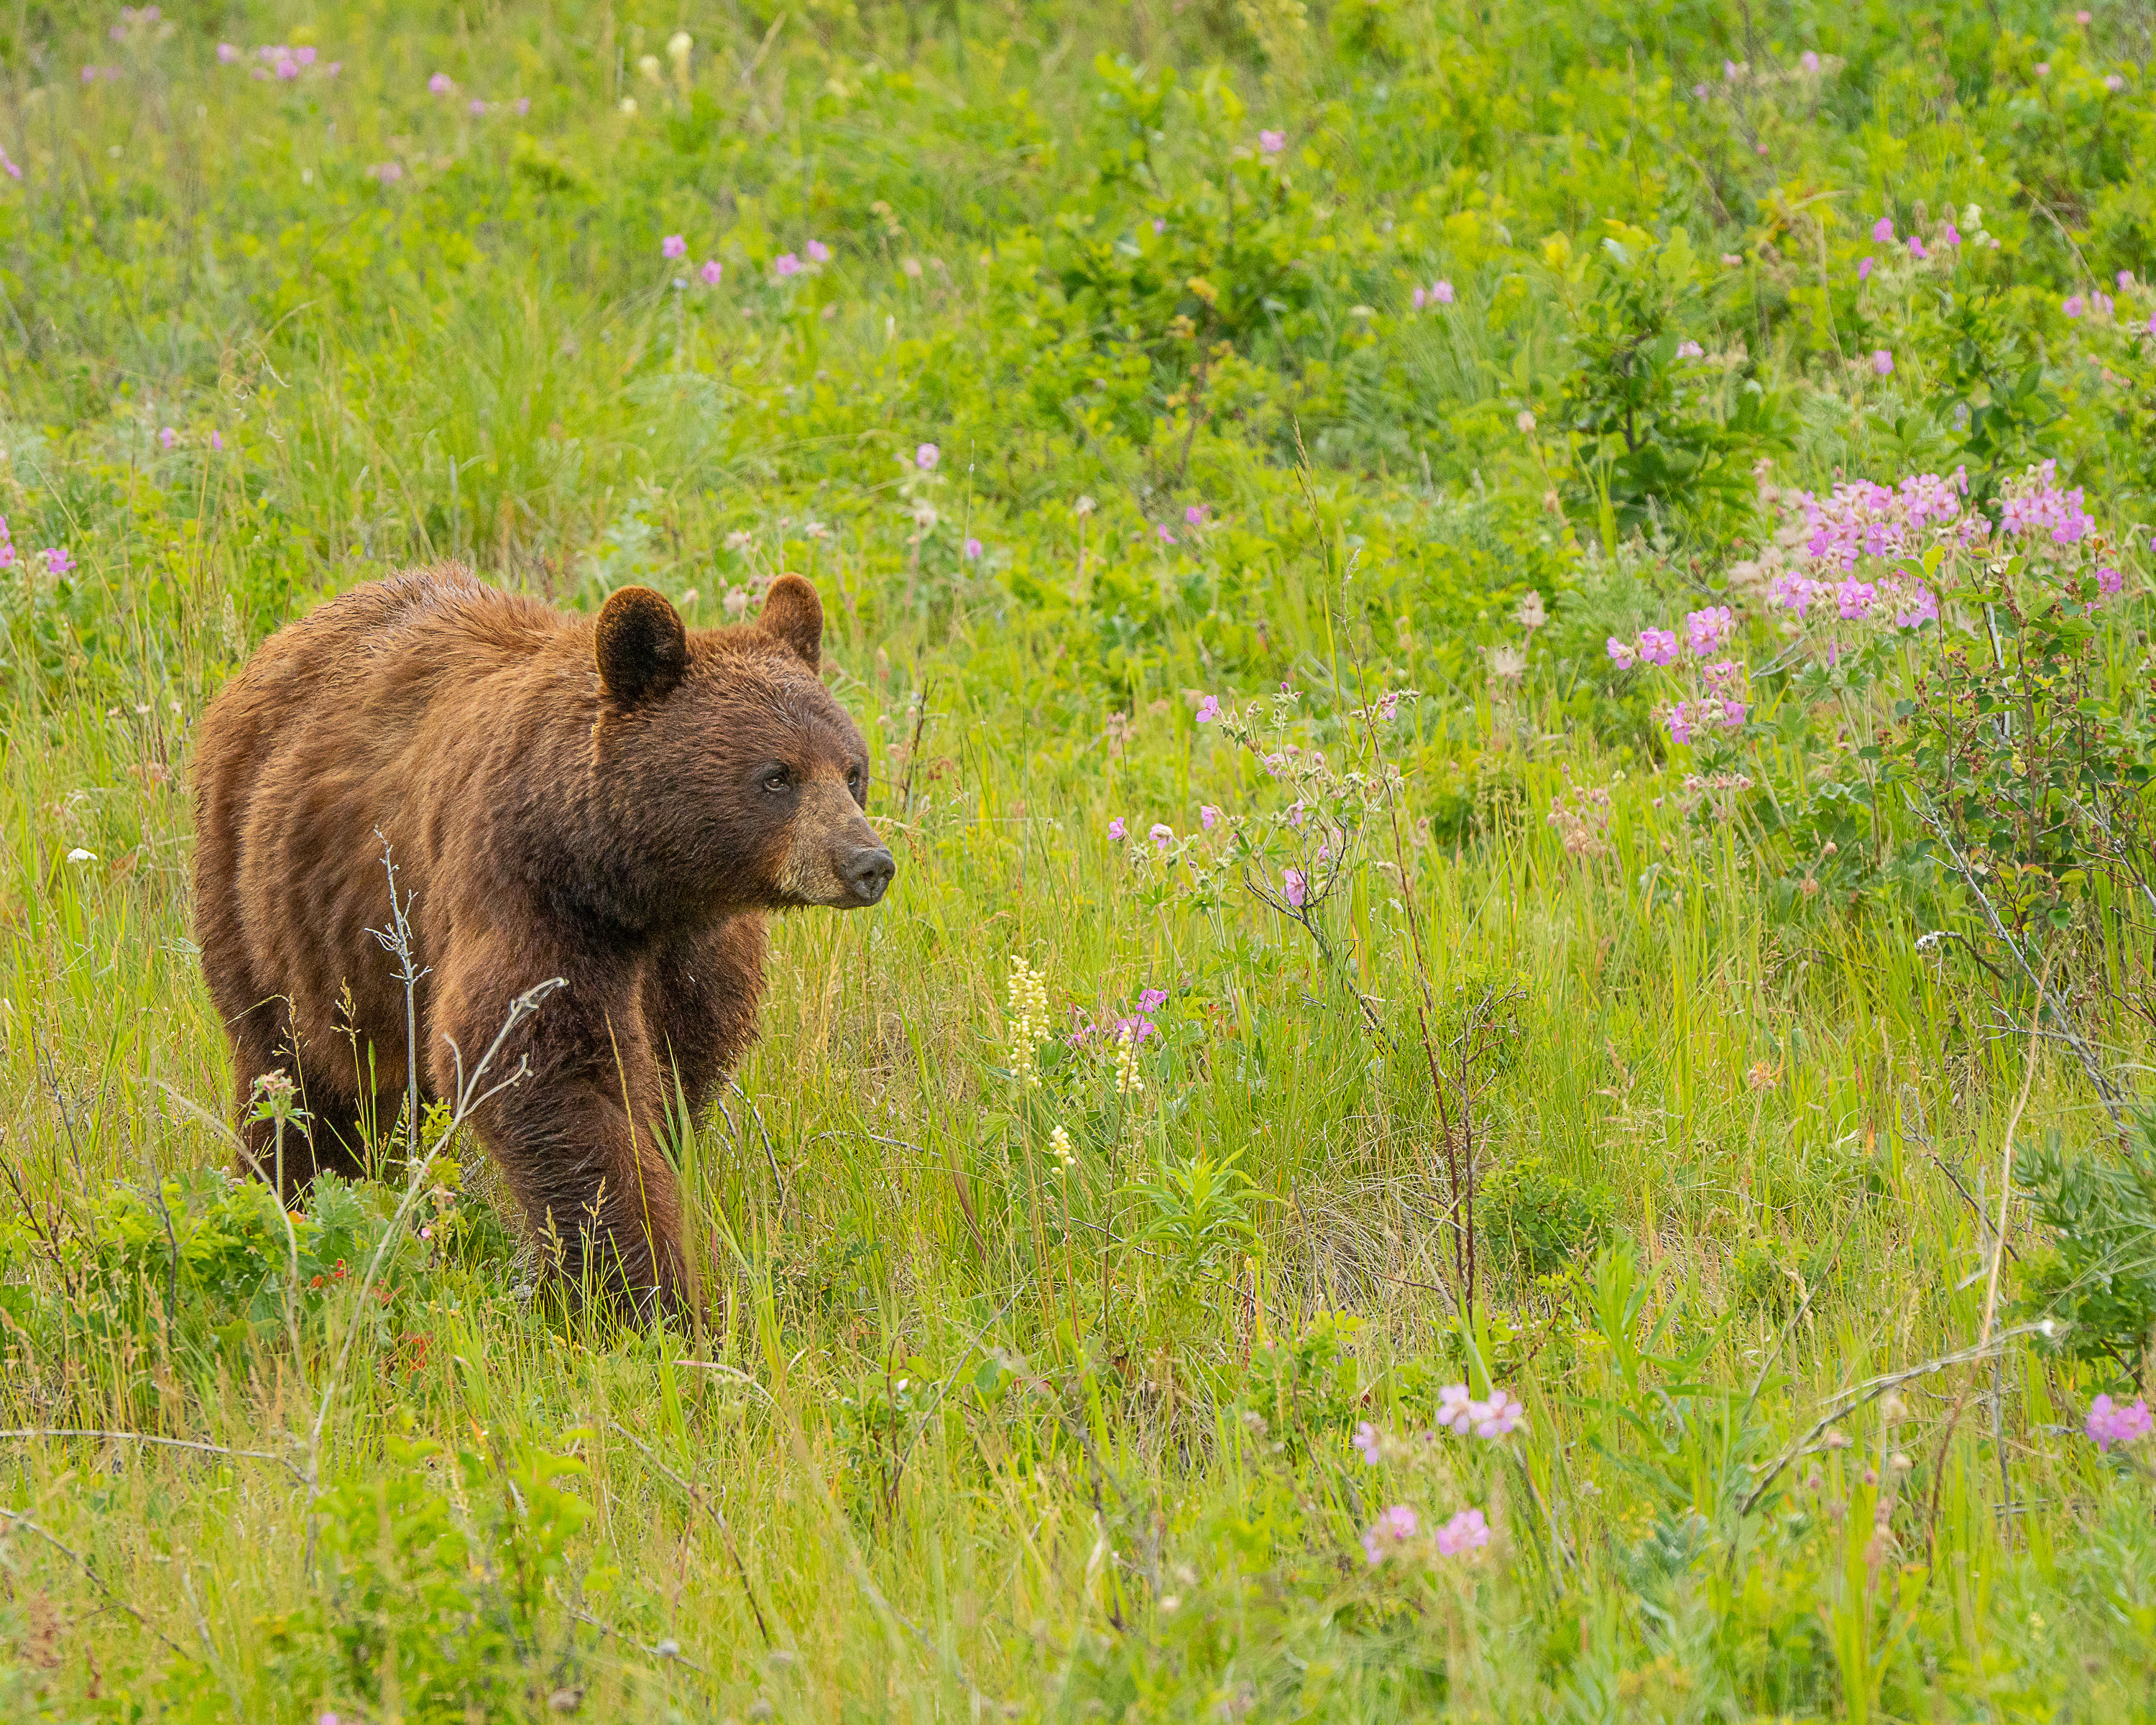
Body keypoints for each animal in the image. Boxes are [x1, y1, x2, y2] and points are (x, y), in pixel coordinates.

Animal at [191, 566, 892, 1319]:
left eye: (852, 770)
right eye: (777, 775)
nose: (867, 862)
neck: (636, 883)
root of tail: (282, 641)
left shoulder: (694, 953)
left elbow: (677, 1071)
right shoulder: (527, 892)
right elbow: (548, 1069)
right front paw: (645, 1295)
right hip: (271, 914)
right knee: (294, 1084)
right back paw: (286, 1201)